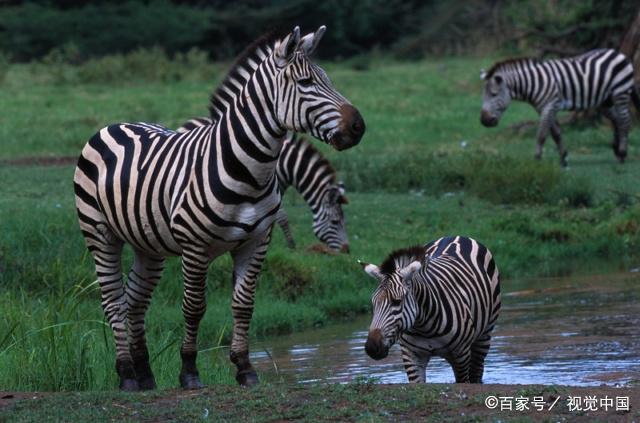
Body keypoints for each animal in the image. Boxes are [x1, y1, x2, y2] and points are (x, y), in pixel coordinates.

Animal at [360, 237, 500, 386]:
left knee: (476, 373)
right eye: (373, 303)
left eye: (397, 302)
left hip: (484, 335)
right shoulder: (411, 356)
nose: (371, 348)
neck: (424, 327)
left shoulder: (461, 354)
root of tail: (457, 236)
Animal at [482, 48, 636, 166]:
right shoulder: (545, 108)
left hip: (620, 93)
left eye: (494, 94)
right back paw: (617, 150)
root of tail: (617, 52)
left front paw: (536, 160)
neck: (535, 83)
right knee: (617, 120)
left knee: (625, 121)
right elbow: (556, 134)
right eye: (484, 96)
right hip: (604, 101)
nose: (483, 121)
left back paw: (622, 154)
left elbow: (541, 135)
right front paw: (563, 158)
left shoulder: (550, 106)